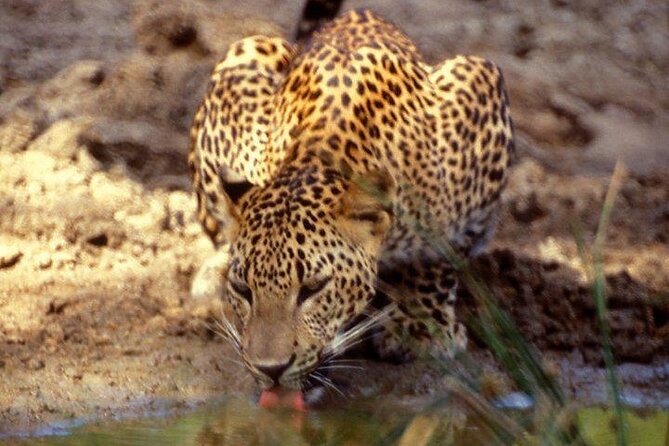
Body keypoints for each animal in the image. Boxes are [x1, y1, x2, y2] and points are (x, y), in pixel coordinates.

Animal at [188, 9, 514, 391]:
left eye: (313, 289)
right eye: (243, 290)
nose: (271, 370)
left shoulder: (481, 88)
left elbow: (440, 248)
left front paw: (422, 325)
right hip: (249, 48)